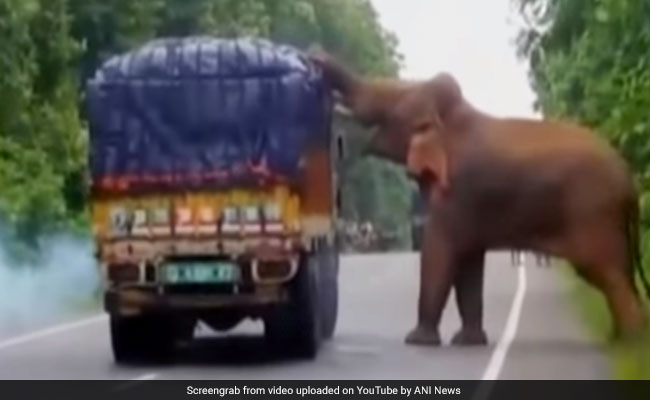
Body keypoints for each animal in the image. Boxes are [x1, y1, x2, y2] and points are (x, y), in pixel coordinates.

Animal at [310, 49, 648, 344]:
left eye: (391, 102)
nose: (313, 55)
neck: (453, 117)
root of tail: (629, 180)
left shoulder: (457, 192)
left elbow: (439, 251)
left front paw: (417, 340)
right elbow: (469, 261)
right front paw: (467, 341)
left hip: (593, 214)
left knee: (607, 274)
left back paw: (629, 344)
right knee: (618, 274)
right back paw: (620, 339)